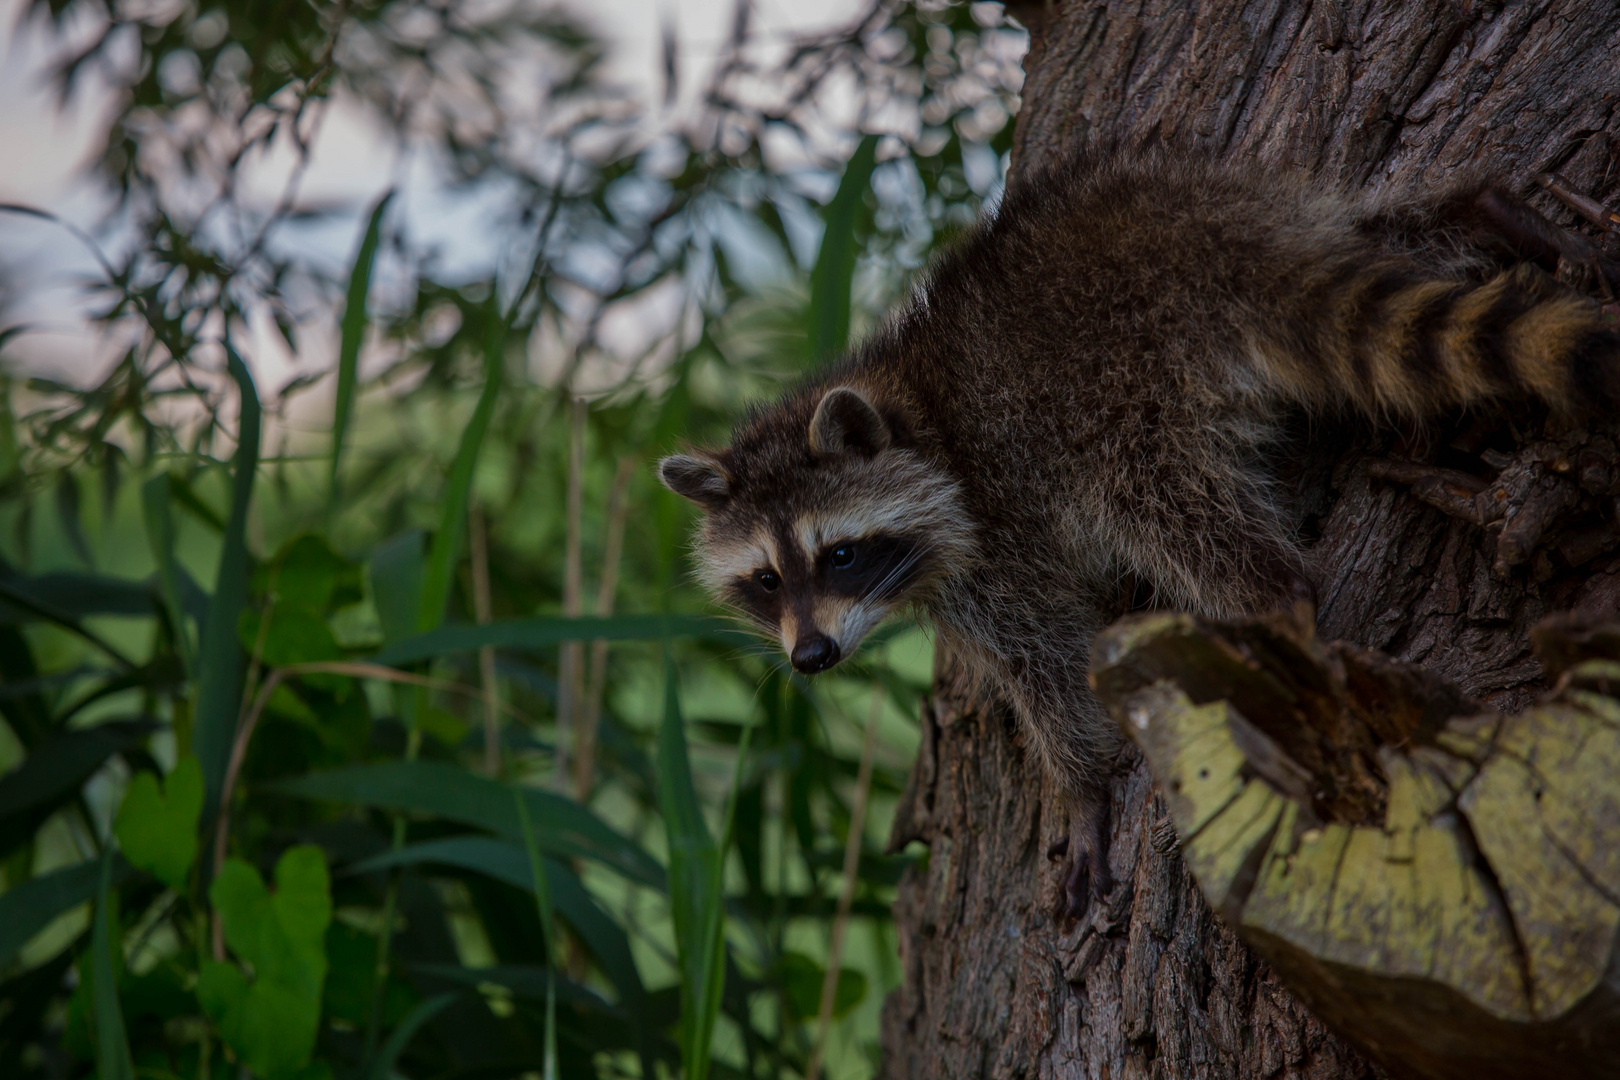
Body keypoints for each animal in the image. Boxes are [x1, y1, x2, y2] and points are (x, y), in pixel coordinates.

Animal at [657, 148, 1620, 919]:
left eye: (842, 555)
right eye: (767, 580)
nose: (812, 658)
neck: (911, 408)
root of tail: (1199, 248)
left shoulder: (996, 532)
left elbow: (1049, 663)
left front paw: (1079, 790)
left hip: (1120, 397)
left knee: (1178, 520)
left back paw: (1274, 601)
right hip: (1263, 208)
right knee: (1380, 233)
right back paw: (1484, 211)